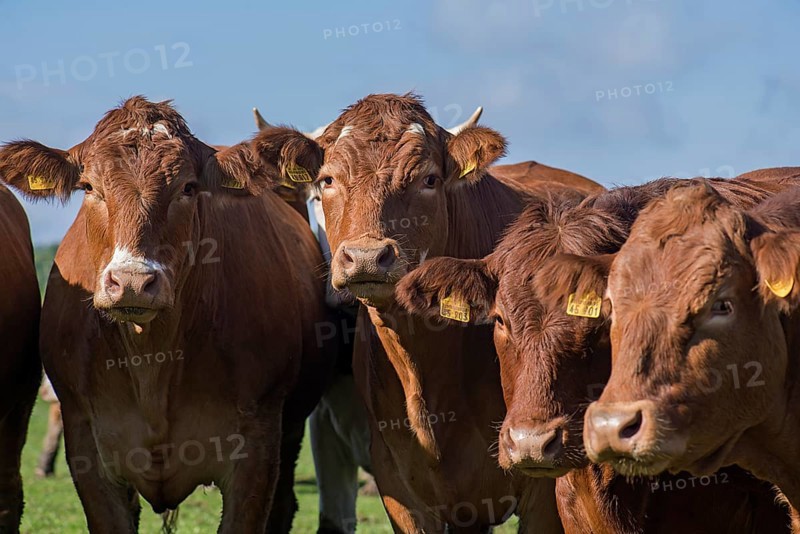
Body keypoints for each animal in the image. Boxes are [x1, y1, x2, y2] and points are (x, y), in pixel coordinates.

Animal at [0, 96, 334, 533]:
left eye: (188, 188)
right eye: (88, 187)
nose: (132, 281)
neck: (152, 363)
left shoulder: (258, 449)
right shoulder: (87, 448)